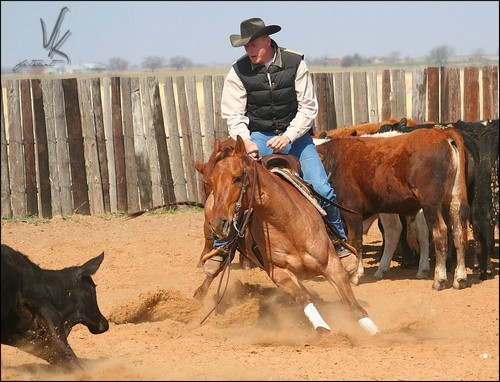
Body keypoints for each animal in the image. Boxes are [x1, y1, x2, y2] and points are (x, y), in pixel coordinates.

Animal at [201, 136, 376, 336]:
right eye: (212, 181)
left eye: (237, 178)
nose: (218, 223)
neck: (287, 224)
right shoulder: (278, 272)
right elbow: (303, 297)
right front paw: (323, 329)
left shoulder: (331, 264)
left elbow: (353, 304)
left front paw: (374, 330)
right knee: (211, 271)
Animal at [316, 127, 468, 290]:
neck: (333, 163)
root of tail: (443, 134)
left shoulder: (351, 212)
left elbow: (355, 242)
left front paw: (356, 275)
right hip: (453, 200)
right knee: (458, 233)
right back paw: (460, 278)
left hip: (430, 205)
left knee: (438, 232)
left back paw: (439, 279)